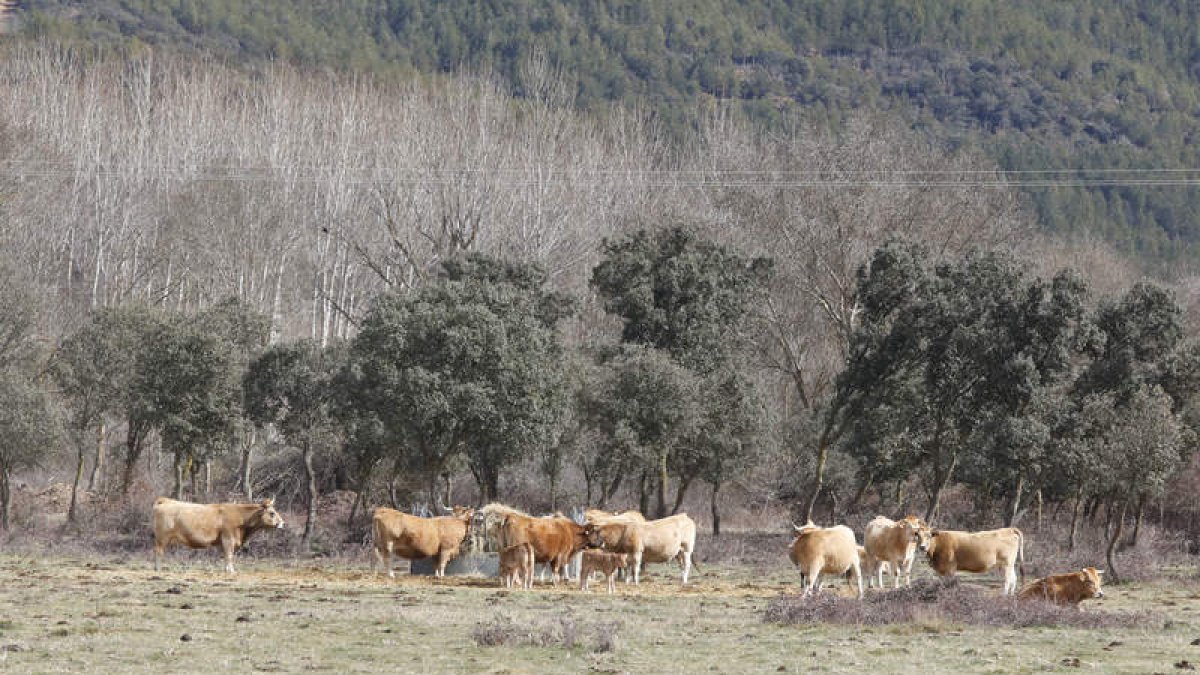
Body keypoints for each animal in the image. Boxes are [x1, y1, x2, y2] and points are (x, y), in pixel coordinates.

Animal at [152, 497, 285, 569]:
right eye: (272, 513)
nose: (282, 523)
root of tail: (166, 500)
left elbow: (227, 556)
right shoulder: (228, 539)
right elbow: (229, 556)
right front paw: (230, 571)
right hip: (162, 538)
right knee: (158, 552)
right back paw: (158, 569)